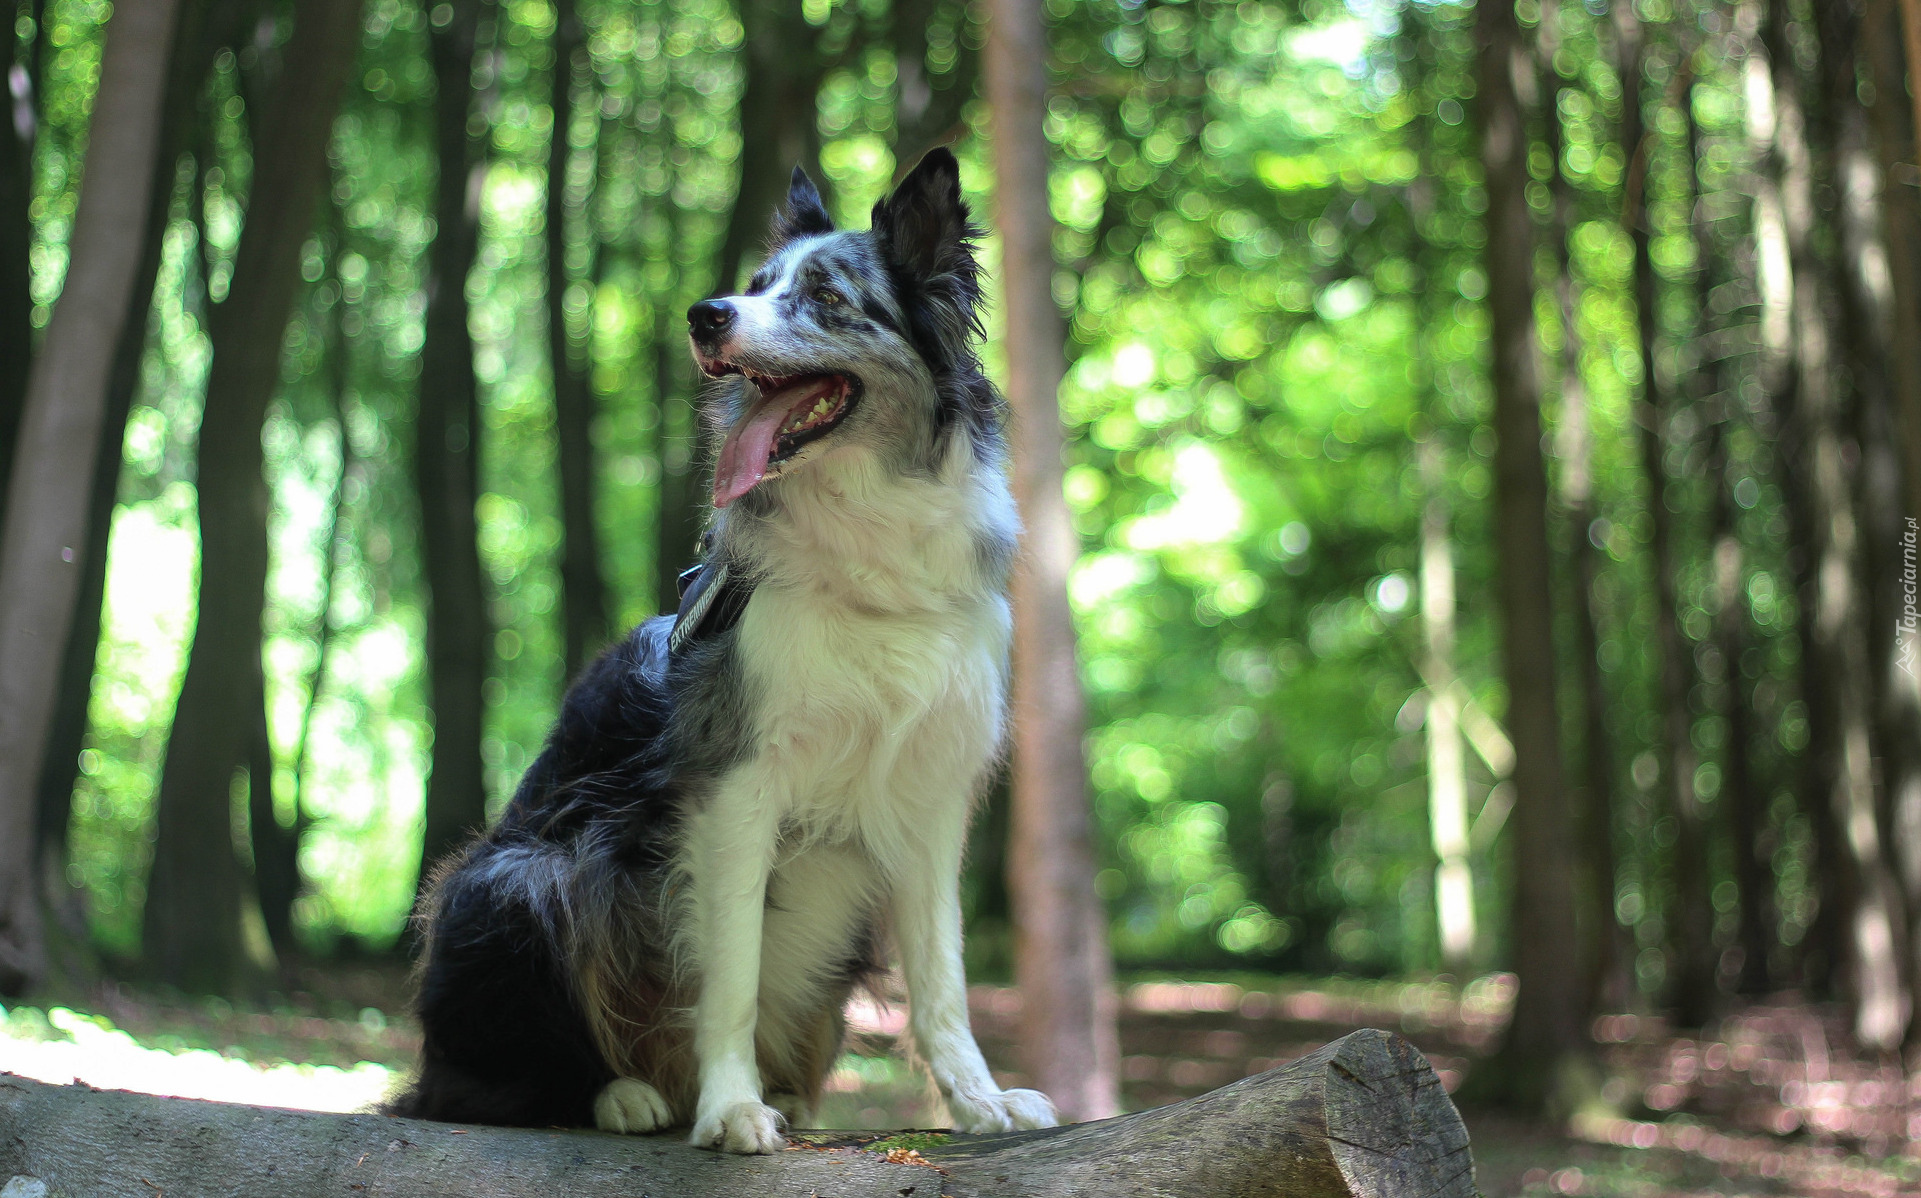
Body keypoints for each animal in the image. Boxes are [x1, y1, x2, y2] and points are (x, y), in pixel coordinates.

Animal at [386, 149, 1052, 1151]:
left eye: (825, 296)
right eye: (754, 286)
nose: (705, 316)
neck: (867, 546)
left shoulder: (932, 794)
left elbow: (943, 980)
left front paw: (980, 1101)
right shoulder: (737, 783)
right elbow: (729, 972)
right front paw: (730, 1109)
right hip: (513, 878)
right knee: (473, 1084)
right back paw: (623, 1095)